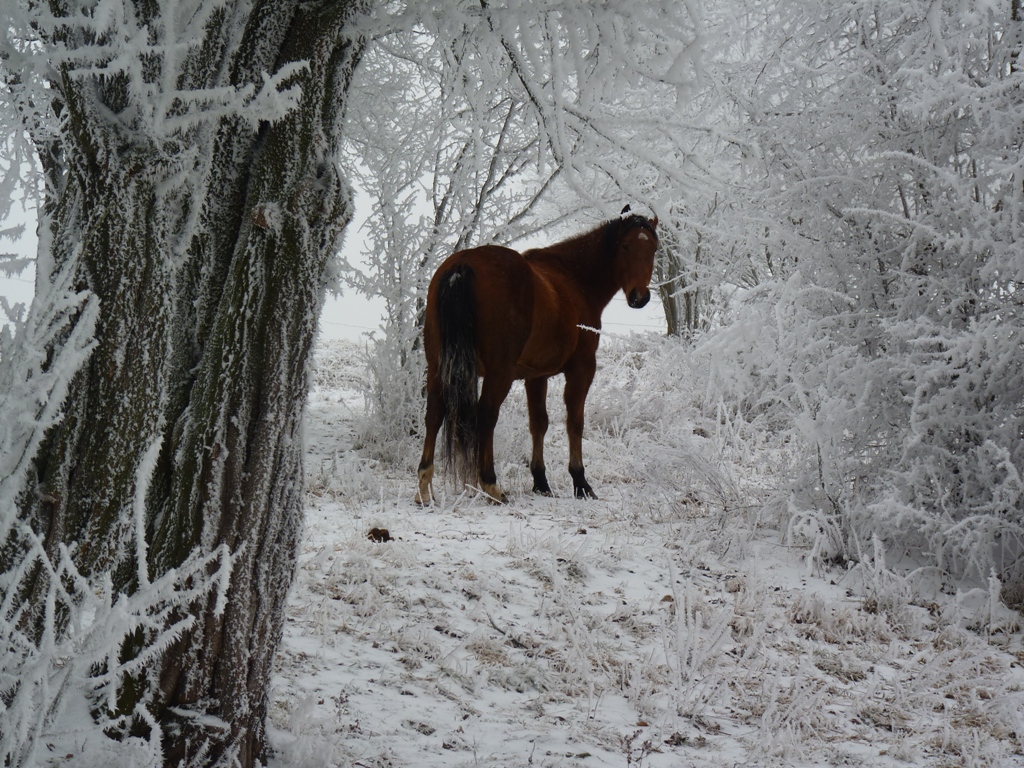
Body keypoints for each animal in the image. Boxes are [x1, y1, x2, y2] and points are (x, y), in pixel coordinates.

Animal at [417, 207, 663, 505]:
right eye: (625, 246)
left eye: (653, 248)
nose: (640, 297)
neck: (573, 280)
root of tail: (462, 266)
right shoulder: (582, 369)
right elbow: (575, 422)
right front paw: (581, 482)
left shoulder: (536, 376)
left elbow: (539, 423)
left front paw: (541, 481)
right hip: (499, 374)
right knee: (486, 415)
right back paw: (490, 484)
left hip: (437, 367)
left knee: (434, 413)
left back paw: (424, 486)